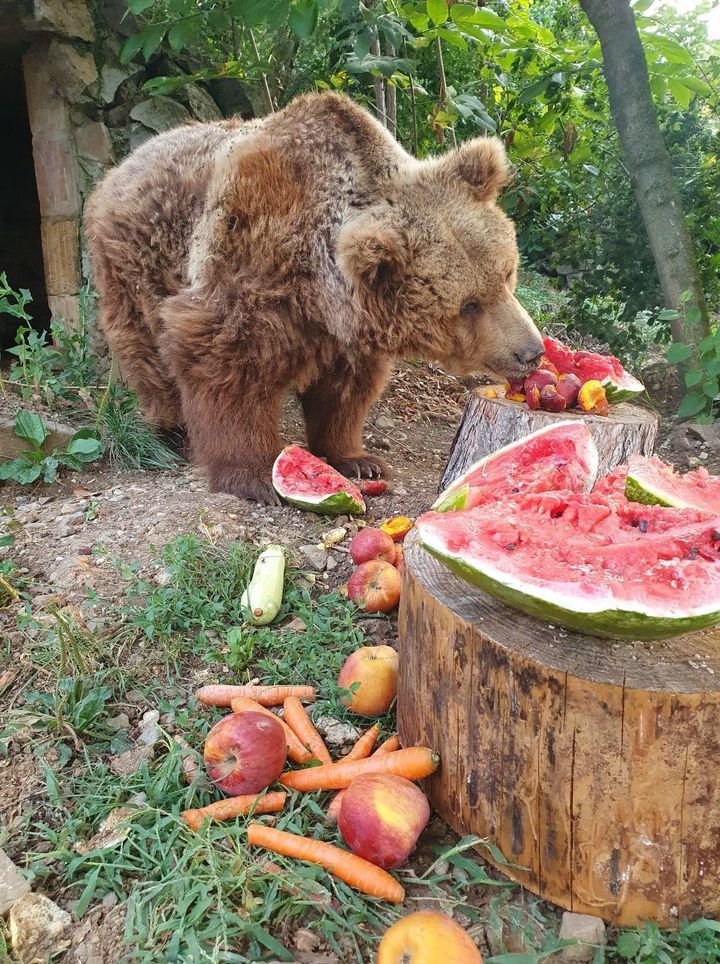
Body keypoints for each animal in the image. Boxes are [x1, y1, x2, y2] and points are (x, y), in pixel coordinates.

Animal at [84, 90, 544, 504]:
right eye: (469, 305)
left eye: (506, 274)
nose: (532, 351)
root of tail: (120, 167)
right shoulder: (249, 259)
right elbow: (227, 368)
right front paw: (252, 473)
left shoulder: (345, 326)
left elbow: (344, 391)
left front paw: (358, 459)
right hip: (138, 259)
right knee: (146, 349)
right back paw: (171, 429)